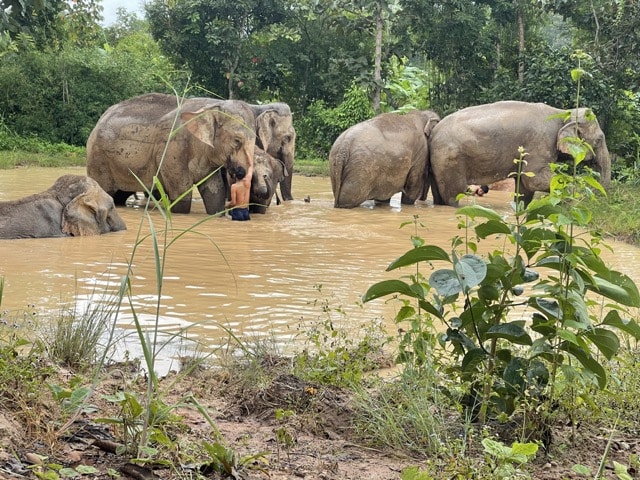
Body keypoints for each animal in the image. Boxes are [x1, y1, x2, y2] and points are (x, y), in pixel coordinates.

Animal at [87, 93, 256, 214]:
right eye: (237, 141)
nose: (239, 172)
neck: (209, 106)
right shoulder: (172, 148)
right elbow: (182, 193)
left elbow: (215, 193)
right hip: (99, 159)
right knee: (106, 191)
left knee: (119, 196)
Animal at [428, 100, 611, 206]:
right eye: (598, 140)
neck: (563, 112)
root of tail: (433, 133)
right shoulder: (540, 142)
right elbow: (535, 180)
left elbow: (524, 187)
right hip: (449, 159)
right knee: (454, 195)